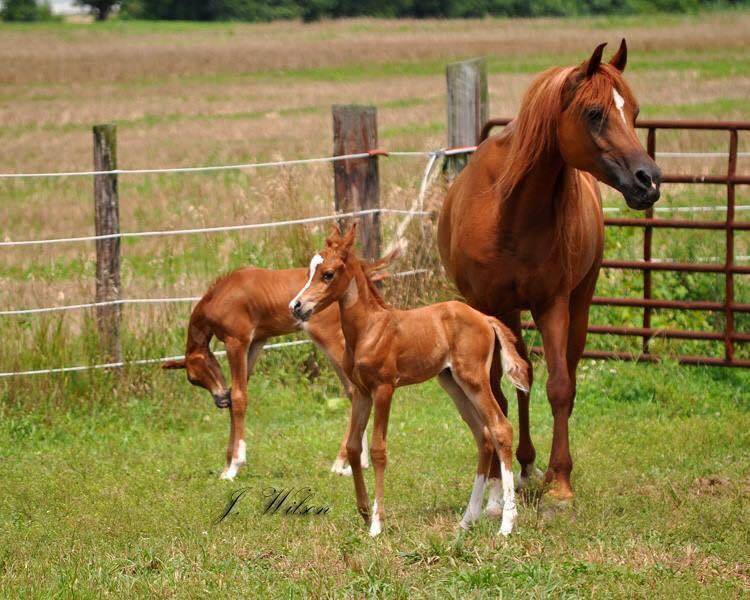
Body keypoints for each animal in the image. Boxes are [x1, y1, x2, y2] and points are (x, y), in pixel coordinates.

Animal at [164, 251, 400, 480]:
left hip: (329, 338)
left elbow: (239, 397)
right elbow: (237, 393)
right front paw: (227, 465)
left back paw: (342, 462)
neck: (220, 294)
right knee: (353, 392)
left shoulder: (236, 341)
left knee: (353, 389)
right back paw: (355, 464)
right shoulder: (257, 341)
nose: (220, 400)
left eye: (195, 378)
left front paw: (235, 466)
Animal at [290, 226, 532, 540]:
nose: (296, 306)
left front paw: (377, 524)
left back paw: (506, 524)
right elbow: (354, 447)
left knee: (501, 428)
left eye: (328, 274)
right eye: (310, 271)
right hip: (452, 383)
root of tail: (484, 317)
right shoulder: (362, 392)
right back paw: (467, 520)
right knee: (483, 436)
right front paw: (364, 511)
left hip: (474, 378)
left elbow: (378, 450)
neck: (368, 329)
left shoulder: (384, 389)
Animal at [440, 41, 664, 502]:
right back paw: (522, 464)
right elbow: (499, 392)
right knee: (520, 377)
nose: (649, 180)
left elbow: (560, 386)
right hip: (508, 314)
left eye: (634, 112)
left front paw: (559, 484)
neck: (510, 209)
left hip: (579, 303)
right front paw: (495, 483)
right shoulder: (488, 305)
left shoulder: (553, 304)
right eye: (594, 112)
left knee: (564, 373)